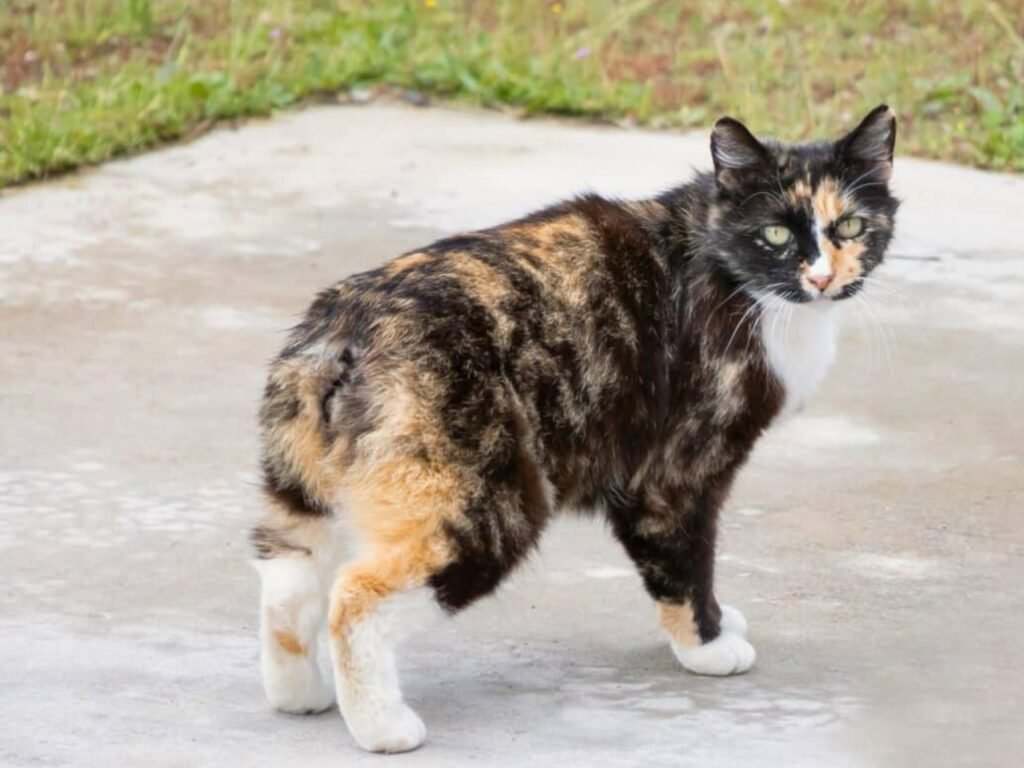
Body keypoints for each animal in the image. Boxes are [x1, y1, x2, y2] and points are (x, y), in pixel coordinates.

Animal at [251, 105, 901, 753]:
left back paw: (299, 696)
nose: (822, 278)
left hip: (304, 491)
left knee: (287, 585)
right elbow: (685, 563)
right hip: (490, 504)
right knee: (355, 597)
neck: (724, 263)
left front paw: (718, 624)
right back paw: (383, 728)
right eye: (775, 234)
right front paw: (708, 644)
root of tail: (344, 325)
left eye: (850, 226)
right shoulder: (675, 473)